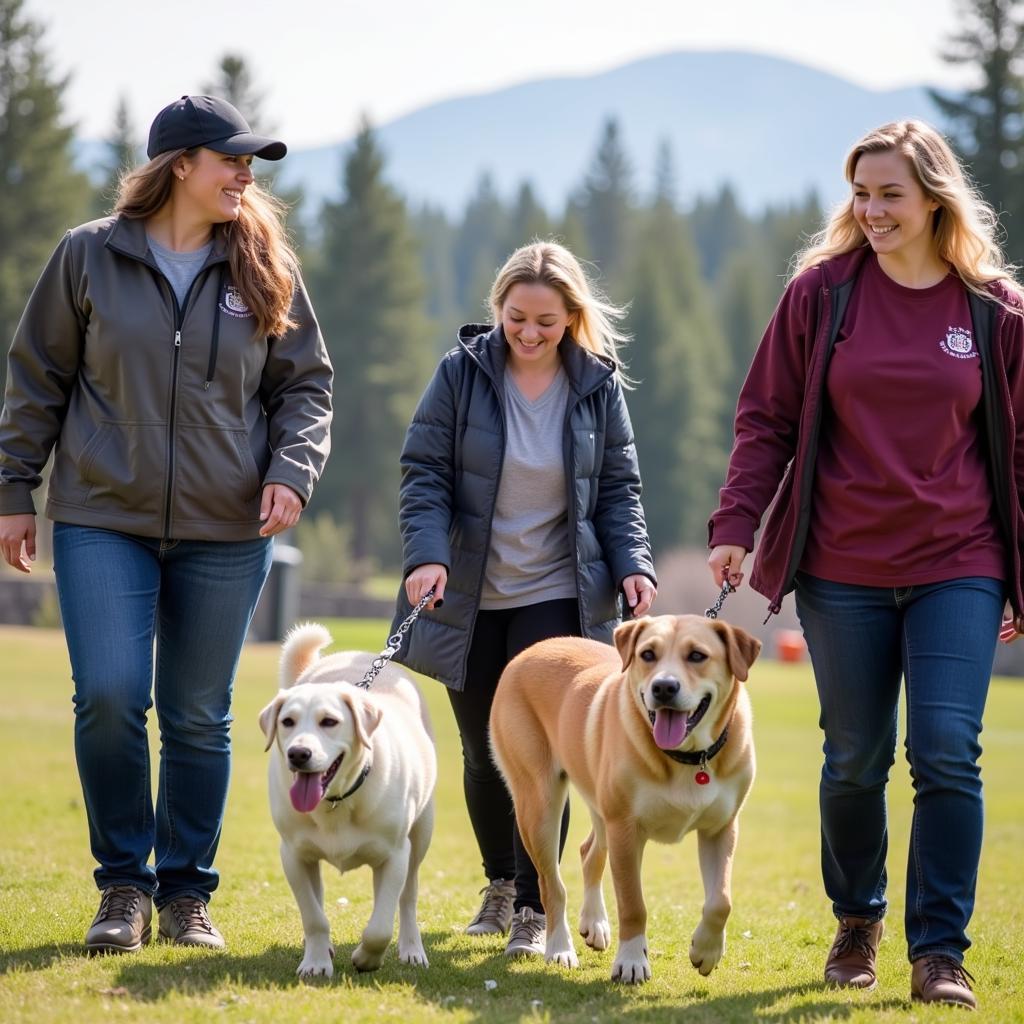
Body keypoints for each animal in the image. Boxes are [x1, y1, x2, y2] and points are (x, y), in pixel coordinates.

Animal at [260, 622, 436, 974]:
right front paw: (316, 961)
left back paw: (412, 948)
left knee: (407, 896)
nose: (298, 753)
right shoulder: (293, 855)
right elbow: (314, 916)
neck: (336, 801)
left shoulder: (396, 854)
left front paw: (365, 958)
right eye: (287, 722)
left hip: (421, 833)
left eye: (329, 722)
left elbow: (380, 926)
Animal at [487, 614, 761, 983]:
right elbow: (633, 904)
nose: (664, 687)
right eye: (648, 654)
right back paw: (559, 948)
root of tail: (532, 649)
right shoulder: (626, 830)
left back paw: (594, 924)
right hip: (539, 804)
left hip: (599, 805)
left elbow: (721, 901)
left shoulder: (721, 828)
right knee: (550, 884)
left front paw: (706, 950)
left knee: (589, 852)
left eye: (697, 656)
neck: (688, 759)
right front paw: (632, 961)